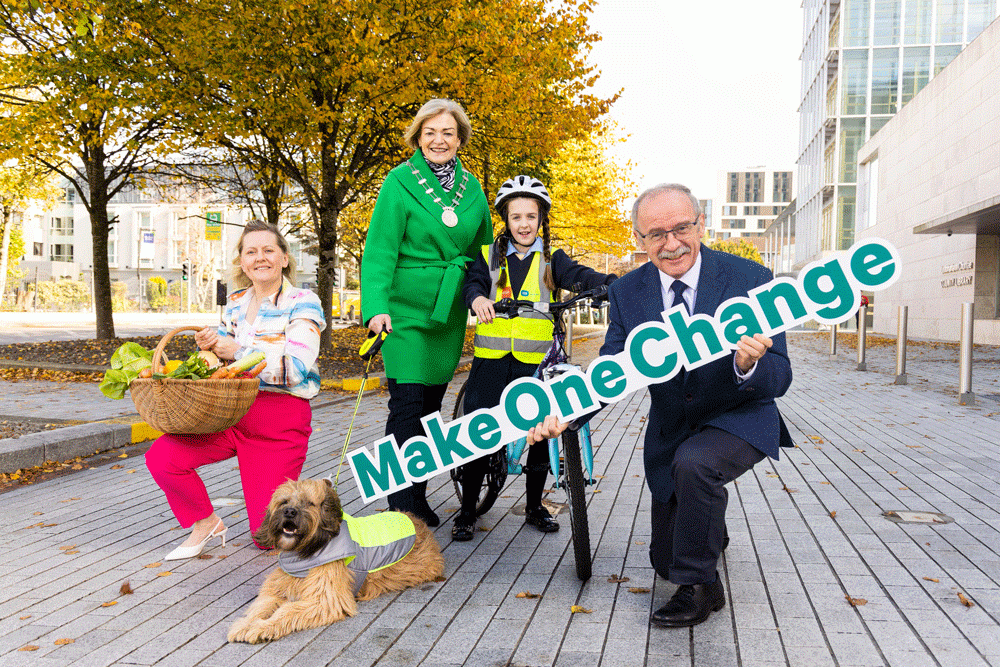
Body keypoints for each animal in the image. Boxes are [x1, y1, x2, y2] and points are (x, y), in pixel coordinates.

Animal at [229, 478, 448, 644]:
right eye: (284, 502)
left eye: (309, 503)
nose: (290, 512)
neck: (304, 552)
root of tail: (417, 521)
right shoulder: (279, 587)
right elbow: (262, 605)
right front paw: (245, 624)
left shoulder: (325, 600)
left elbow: (288, 610)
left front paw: (261, 628)